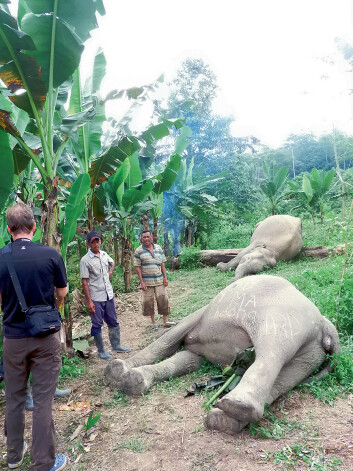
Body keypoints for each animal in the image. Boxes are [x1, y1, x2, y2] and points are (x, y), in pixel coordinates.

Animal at [103, 274, 336, 436]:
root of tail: (327, 325)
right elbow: (187, 361)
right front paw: (134, 380)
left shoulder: (197, 316)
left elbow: (169, 341)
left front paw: (117, 371)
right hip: (311, 354)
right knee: (286, 377)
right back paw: (224, 420)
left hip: (282, 317)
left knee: (271, 351)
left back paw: (236, 406)